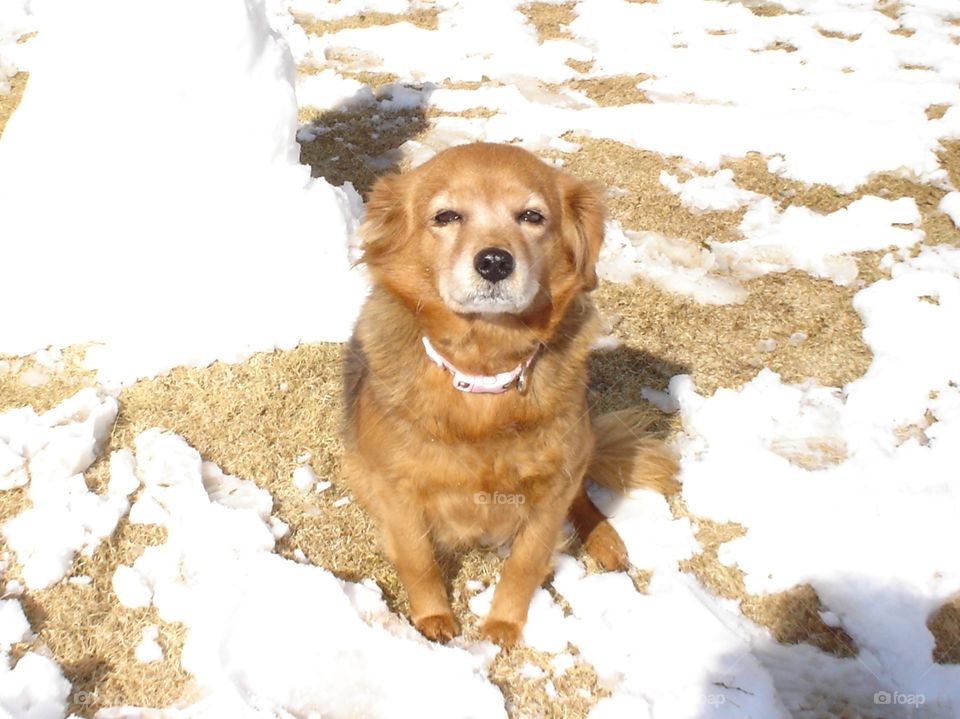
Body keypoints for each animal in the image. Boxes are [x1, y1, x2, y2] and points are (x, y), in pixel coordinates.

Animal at [344, 142, 676, 648]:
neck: (484, 374)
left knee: (584, 495)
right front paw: (434, 619)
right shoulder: (397, 488)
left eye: (532, 216)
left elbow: (525, 562)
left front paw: (502, 625)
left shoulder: (553, 484)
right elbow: (418, 561)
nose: (495, 262)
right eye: (446, 216)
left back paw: (606, 540)